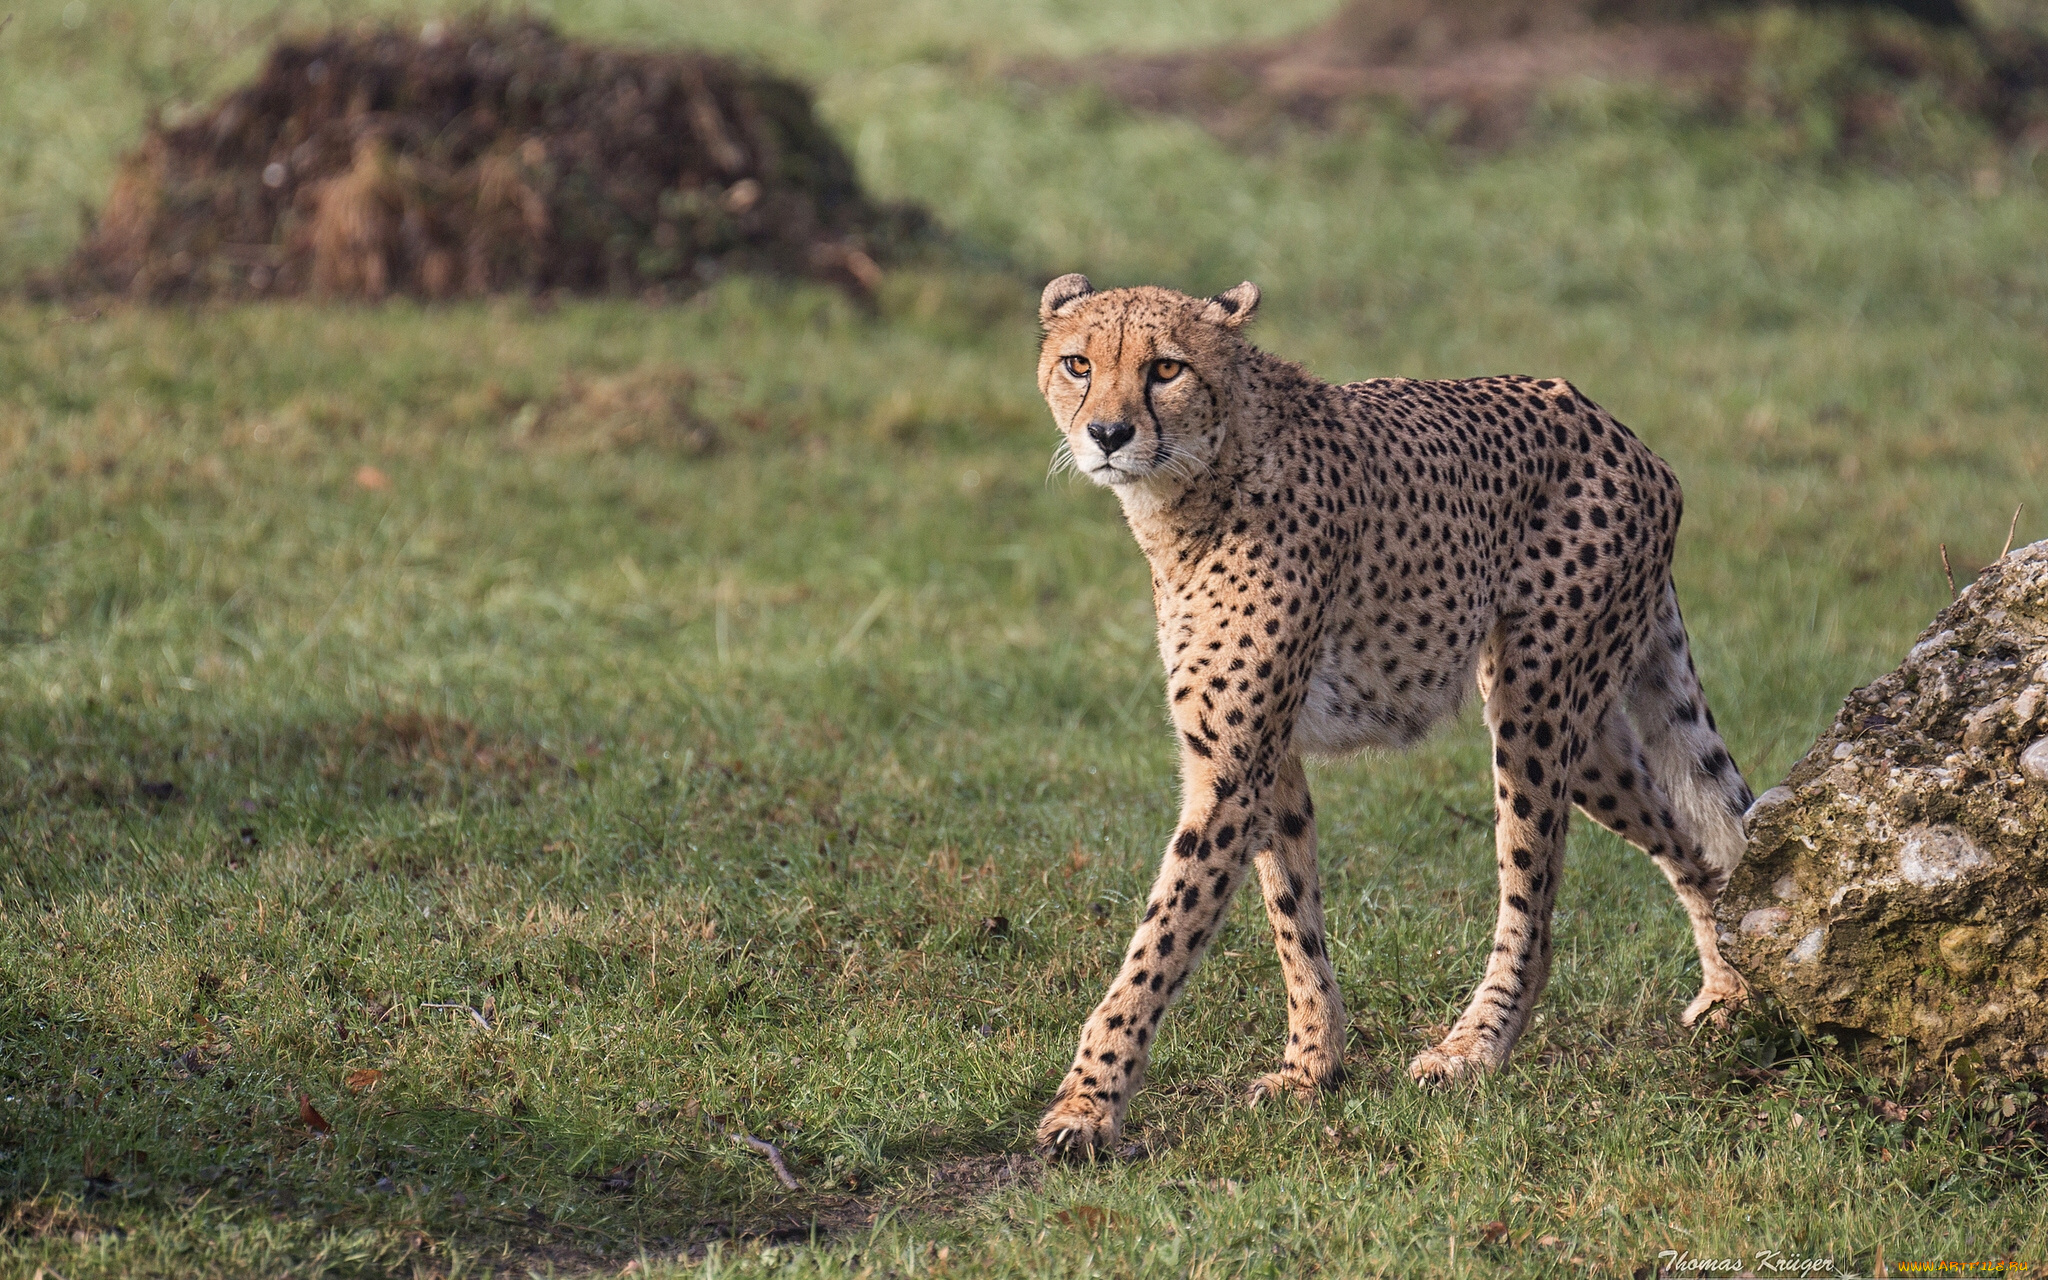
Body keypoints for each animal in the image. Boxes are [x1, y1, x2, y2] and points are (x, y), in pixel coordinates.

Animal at [1032, 274, 1753, 1155]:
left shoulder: (1233, 771)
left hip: (1534, 706)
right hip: (1589, 739)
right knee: (1692, 838)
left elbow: (1161, 938)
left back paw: (1475, 1047)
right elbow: (1292, 913)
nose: (1107, 432)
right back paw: (1730, 985)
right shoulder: (1268, 760)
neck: (1197, 486)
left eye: (1165, 367)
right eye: (1078, 363)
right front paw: (1313, 1065)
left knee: (1535, 899)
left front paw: (1088, 1103)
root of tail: (1615, 427)